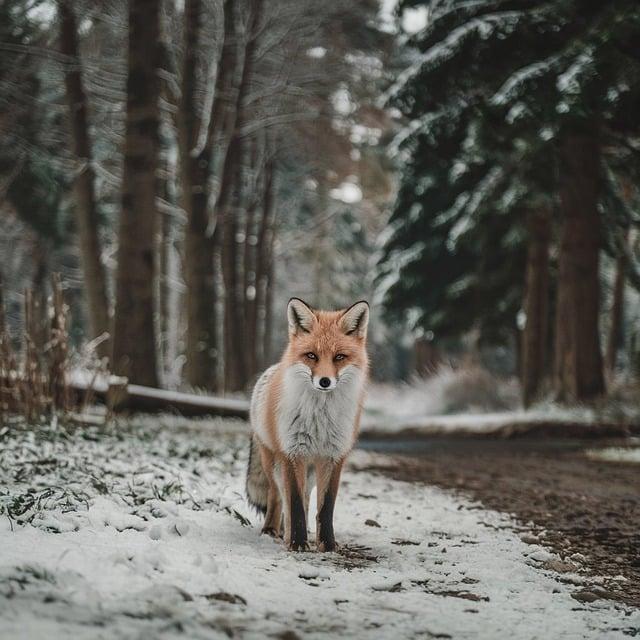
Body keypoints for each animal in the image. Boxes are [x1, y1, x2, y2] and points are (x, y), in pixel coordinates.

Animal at [248, 298, 372, 552]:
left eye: (339, 357)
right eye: (311, 356)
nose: (325, 381)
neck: (320, 418)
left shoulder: (333, 457)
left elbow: (325, 507)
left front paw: (327, 544)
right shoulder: (292, 453)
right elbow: (294, 503)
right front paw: (297, 543)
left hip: (310, 471)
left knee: (304, 500)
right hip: (273, 463)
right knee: (277, 496)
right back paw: (272, 530)